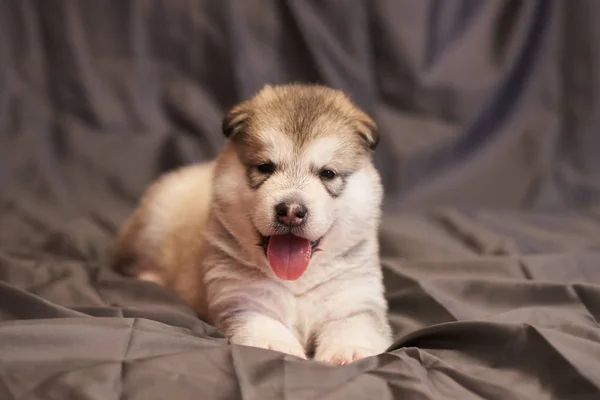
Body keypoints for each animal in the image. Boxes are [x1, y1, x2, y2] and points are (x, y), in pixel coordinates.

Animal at [112, 83, 394, 364]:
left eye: (328, 173)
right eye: (264, 167)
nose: (291, 211)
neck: (296, 281)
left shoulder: (355, 297)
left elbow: (354, 324)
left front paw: (350, 350)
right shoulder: (242, 298)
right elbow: (262, 323)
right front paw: (277, 345)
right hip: (155, 220)